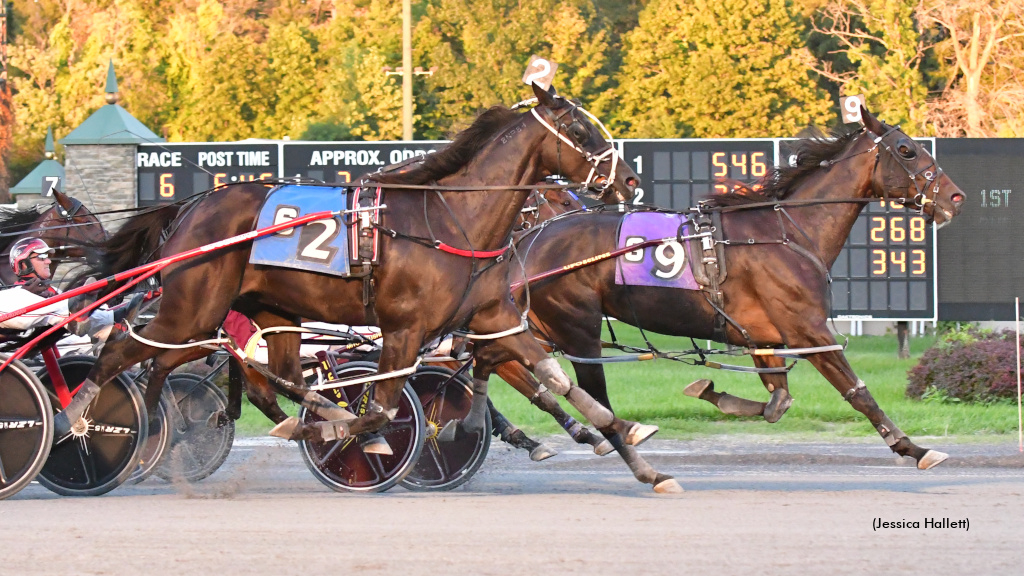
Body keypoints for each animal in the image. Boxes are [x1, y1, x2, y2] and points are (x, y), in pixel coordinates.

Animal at [56, 83, 659, 483]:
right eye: (579, 130)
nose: (630, 181)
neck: (450, 222)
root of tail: (189, 205)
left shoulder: (491, 318)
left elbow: (555, 379)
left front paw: (633, 450)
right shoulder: (405, 329)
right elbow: (385, 409)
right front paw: (369, 438)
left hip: (267, 314)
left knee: (256, 377)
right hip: (193, 308)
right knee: (126, 351)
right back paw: (80, 420)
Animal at [489, 108, 966, 483]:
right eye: (907, 150)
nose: (956, 197)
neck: (787, 232)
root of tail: (527, 243)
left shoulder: (764, 337)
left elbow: (777, 403)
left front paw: (707, 390)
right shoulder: (808, 330)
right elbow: (858, 392)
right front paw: (914, 448)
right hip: (576, 327)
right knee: (582, 391)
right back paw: (617, 436)